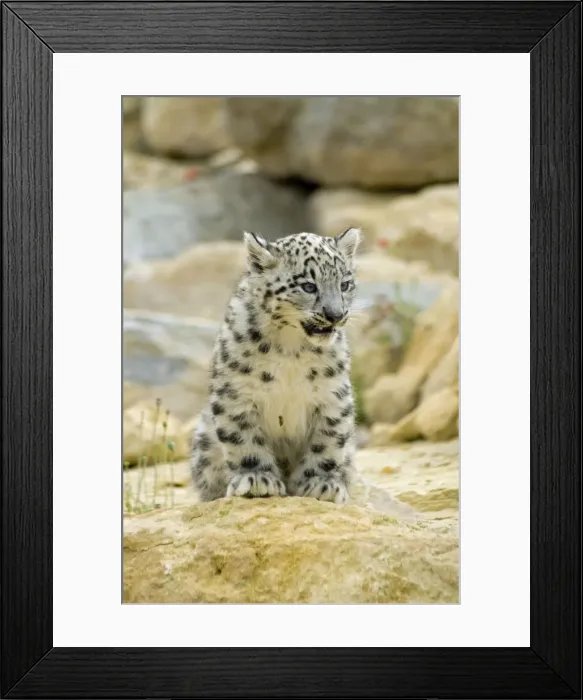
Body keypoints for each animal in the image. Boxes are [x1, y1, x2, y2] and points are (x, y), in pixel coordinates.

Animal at [190, 227, 362, 505]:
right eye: (308, 285)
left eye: (344, 284)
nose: (336, 315)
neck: (291, 348)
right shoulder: (236, 393)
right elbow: (243, 438)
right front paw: (257, 479)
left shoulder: (333, 395)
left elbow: (327, 442)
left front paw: (321, 483)